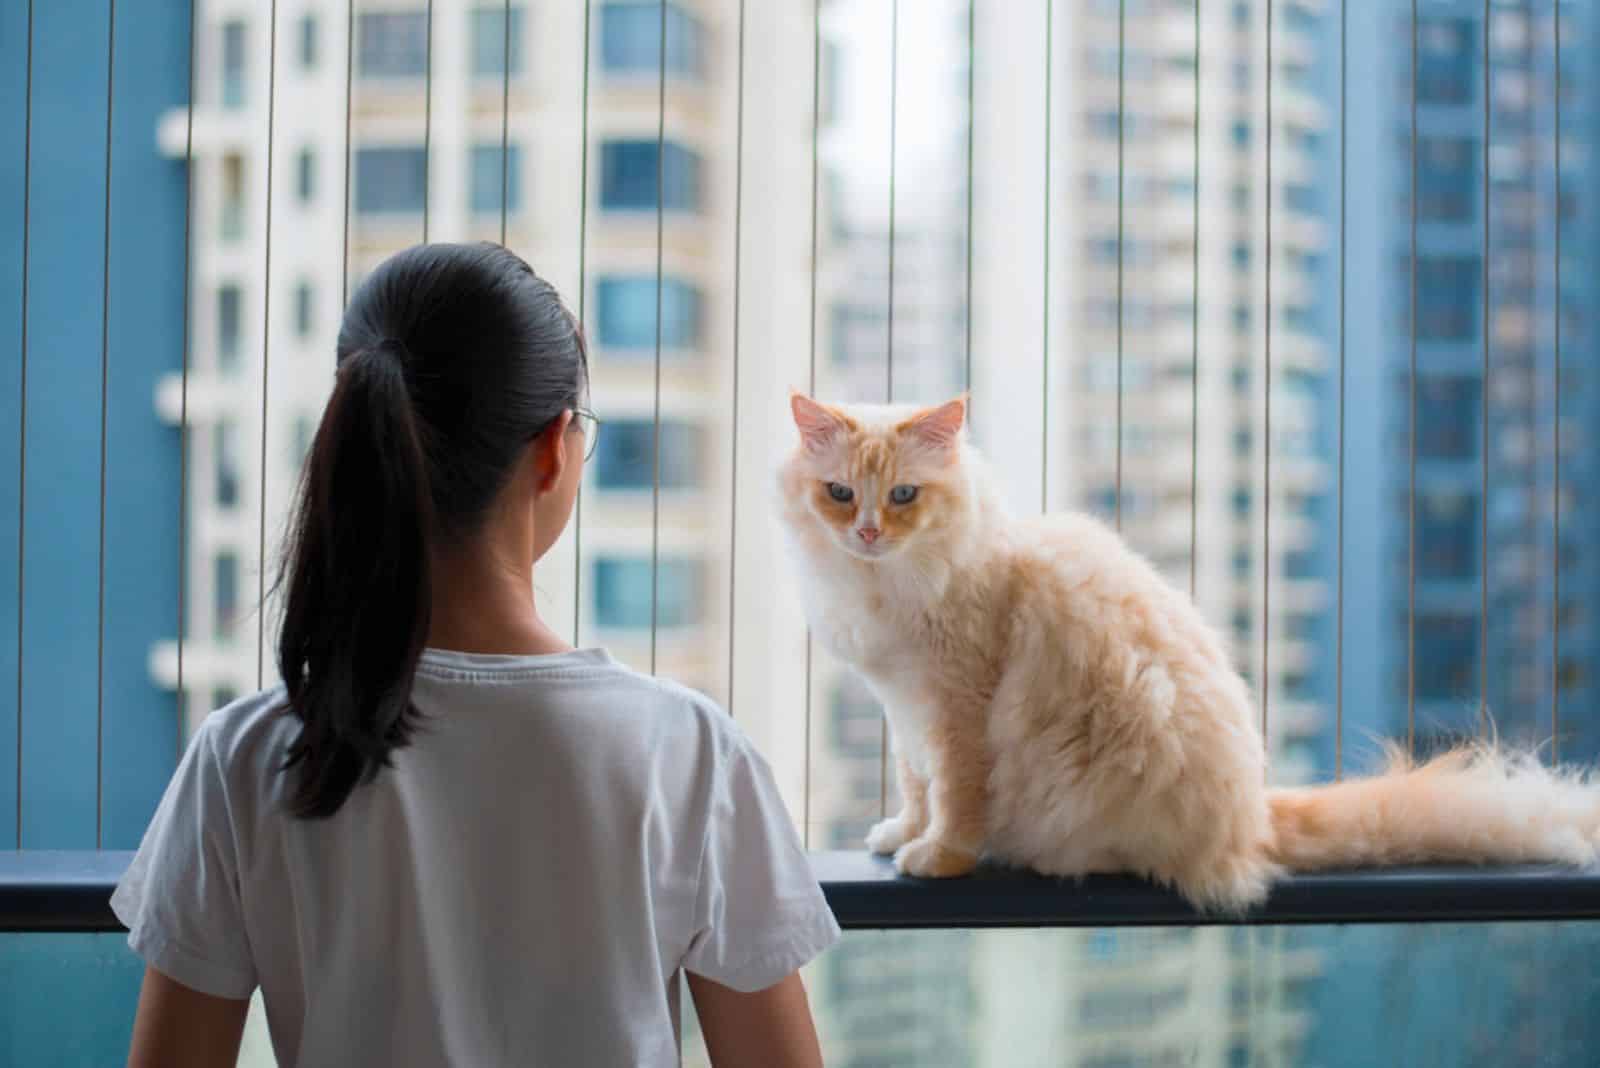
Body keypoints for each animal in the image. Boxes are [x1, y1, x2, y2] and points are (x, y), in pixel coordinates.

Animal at [777, 391, 1600, 908]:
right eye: (840, 495)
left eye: (905, 496)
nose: (869, 533)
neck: (886, 584)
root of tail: (1253, 817)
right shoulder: (903, 708)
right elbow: (916, 787)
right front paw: (898, 836)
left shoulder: (956, 708)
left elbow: (956, 796)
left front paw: (940, 857)